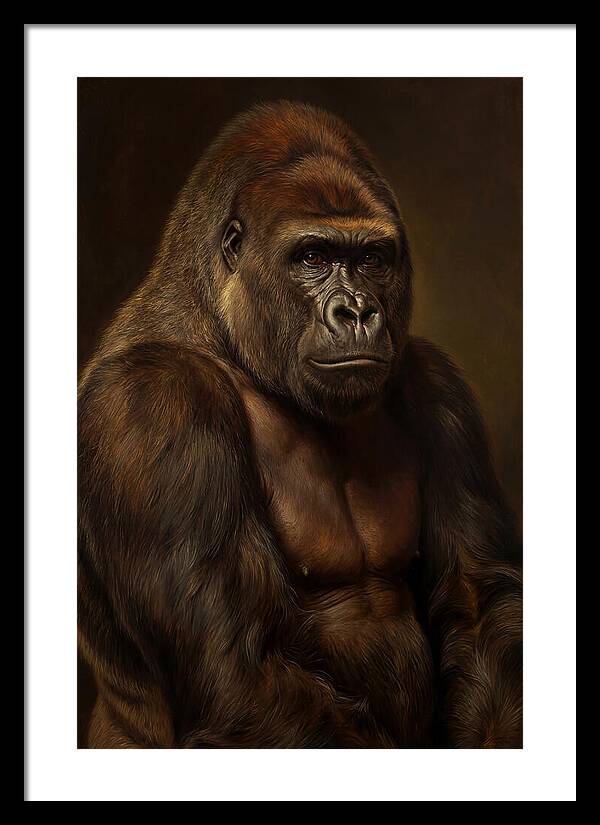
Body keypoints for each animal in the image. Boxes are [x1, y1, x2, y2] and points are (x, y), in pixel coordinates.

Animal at [78, 100, 522, 748]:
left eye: (371, 259)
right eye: (312, 257)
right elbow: (236, 669)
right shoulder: (155, 403)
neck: (226, 333)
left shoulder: (438, 387)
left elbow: (478, 603)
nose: (357, 312)